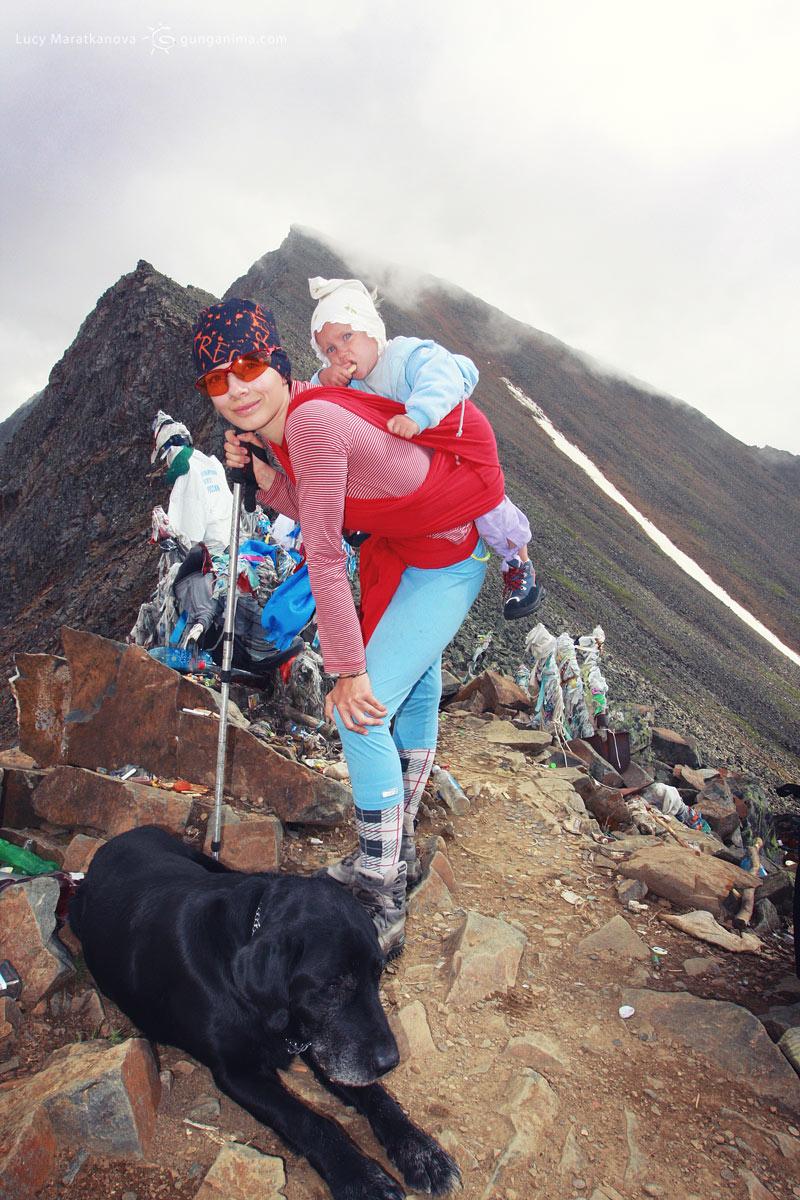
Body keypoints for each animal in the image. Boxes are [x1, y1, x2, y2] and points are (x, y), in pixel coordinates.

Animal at [71, 825, 460, 1200]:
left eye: (377, 973)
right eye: (333, 984)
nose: (390, 1062)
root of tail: (119, 839)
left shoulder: (318, 1044)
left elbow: (378, 1097)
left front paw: (421, 1151)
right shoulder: (238, 1072)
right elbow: (310, 1120)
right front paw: (361, 1177)